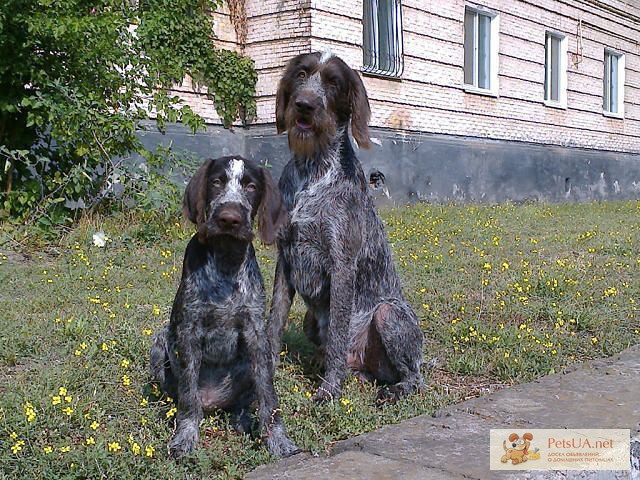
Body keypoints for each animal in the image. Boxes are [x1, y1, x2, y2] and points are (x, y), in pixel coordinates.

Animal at [151, 156, 298, 460]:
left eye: (251, 187)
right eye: (216, 182)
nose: (229, 218)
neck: (226, 260)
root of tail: (213, 403)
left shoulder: (257, 333)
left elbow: (268, 396)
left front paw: (278, 439)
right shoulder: (189, 331)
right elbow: (188, 396)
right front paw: (185, 436)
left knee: (242, 403)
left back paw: (242, 420)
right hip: (159, 341)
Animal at [268, 52, 424, 404]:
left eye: (333, 83)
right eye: (301, 74)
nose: (304, 105)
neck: (312, 171)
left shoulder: (342, 266)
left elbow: (338, 334)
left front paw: (328, 390)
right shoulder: (285, 261)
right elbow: (274, 321)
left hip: (387, 315)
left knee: (413, 375)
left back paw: (394, 388)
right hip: (310, 320)